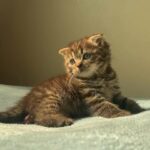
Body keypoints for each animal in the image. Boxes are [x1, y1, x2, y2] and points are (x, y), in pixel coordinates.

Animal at [0, 33, 145, 126]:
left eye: (86, 56)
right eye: (72, 61)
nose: (78, 65)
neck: (101, 77)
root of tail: (27, 98)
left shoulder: (115, 93)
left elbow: (127, 100)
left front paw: (139, 108)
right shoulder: (92, 97)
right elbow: (107, 105)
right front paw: (122, 113)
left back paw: (28, 119)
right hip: (52, 97)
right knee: (41, 115)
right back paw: (60, 120)